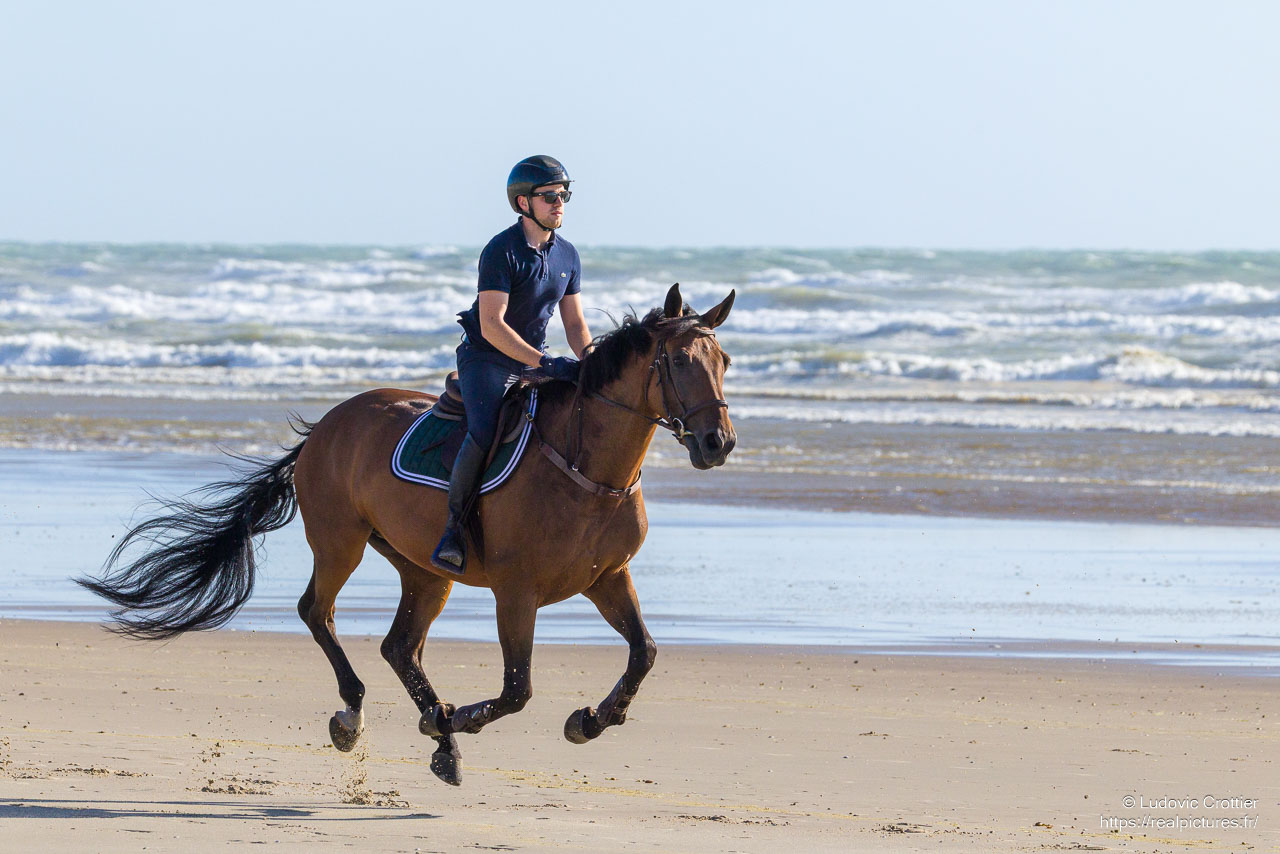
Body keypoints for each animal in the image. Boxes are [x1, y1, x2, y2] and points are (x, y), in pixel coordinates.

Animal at [79, 283, 736, 786]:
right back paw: (361, 717)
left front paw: (590, 721)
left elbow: (643, 653)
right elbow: (517, 689)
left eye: (724, 362)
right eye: (680, 362)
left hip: (424, 570)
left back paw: (440, 738)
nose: (718, 444)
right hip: (341, 542)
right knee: (318, 612)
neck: (588, 470)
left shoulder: (608, 577)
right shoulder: (516, 592)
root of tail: (325, 425)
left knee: (399, 645)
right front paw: (464, 717)